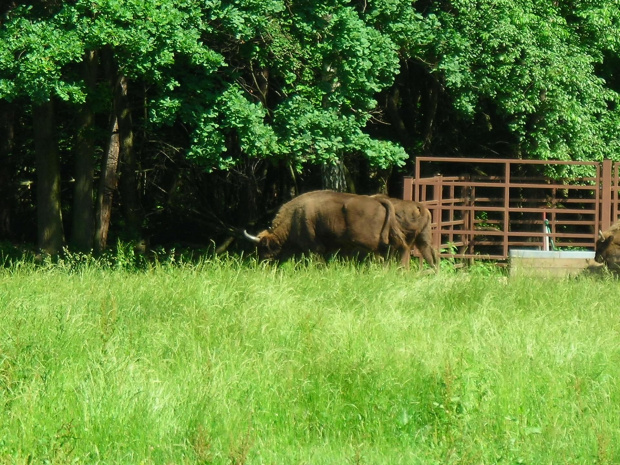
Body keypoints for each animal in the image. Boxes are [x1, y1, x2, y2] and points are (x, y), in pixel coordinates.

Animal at [242, 189, 436, 268]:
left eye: (264, 247)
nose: (262, 263)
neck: (295, 216)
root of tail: (380, 201)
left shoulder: (314, 248)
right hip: (418, 239)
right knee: (425, 254)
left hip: (373, 242)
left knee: (392, 252)